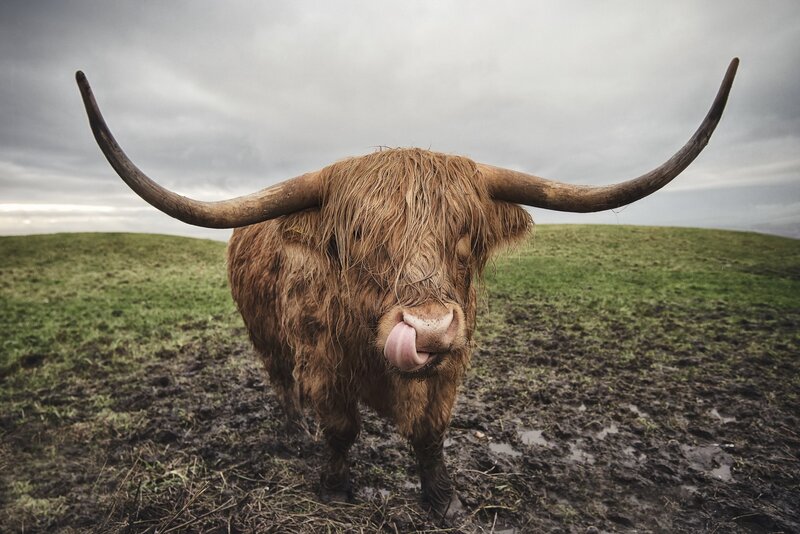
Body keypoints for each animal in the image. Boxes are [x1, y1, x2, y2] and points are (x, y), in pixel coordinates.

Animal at [76, 58, 738, 517]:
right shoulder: (324, 365)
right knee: (280, 381)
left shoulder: (450, 369)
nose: (428, 329)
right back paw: (291, 431)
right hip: (265, 338)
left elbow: (430, 434)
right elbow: (340, 429)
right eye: (356, 235)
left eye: (466, 234)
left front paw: (443, 500)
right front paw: (335, 487)